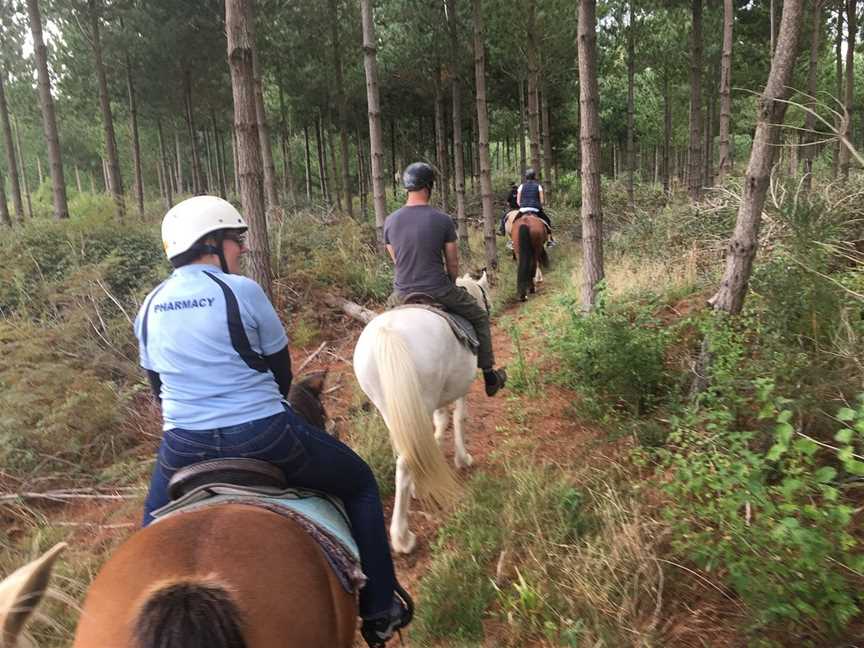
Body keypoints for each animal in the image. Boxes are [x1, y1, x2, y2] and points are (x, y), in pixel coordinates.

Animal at [350, 272, 486, 552]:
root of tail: (388, 332)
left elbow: (438, 424)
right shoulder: (460, 387)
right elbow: (458, 417)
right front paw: (463, 459)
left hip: (389, 405)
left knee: (404, 449)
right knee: (405, 462)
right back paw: (402, 538)